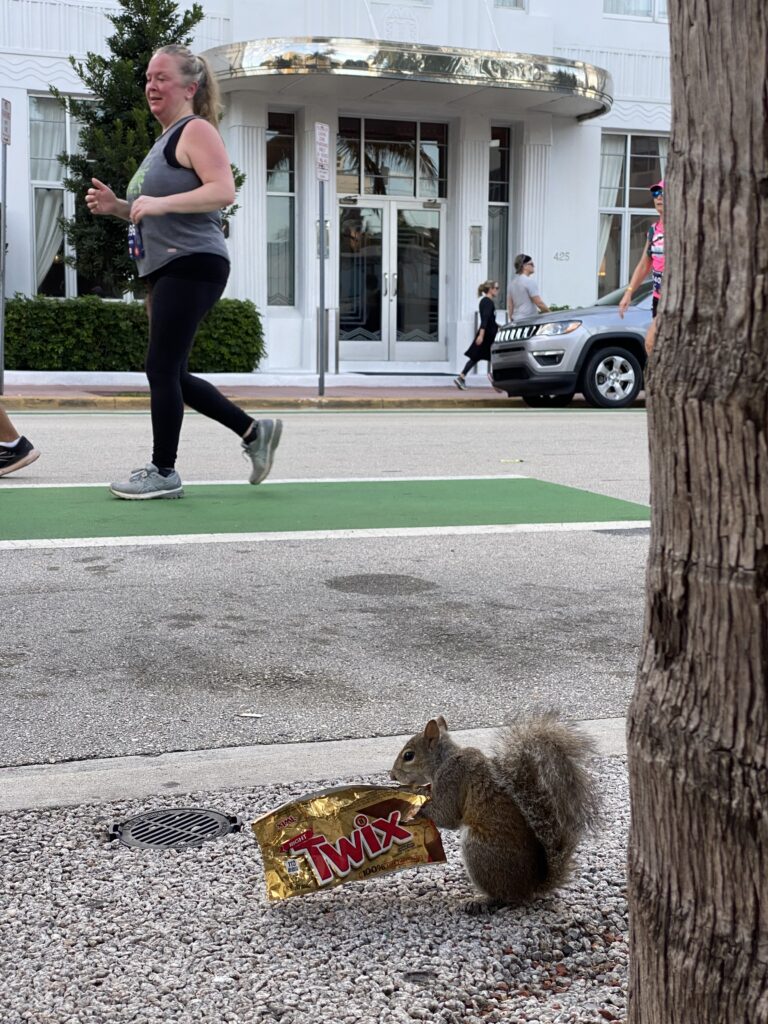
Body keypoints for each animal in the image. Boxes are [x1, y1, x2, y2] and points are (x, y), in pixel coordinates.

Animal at [390, 713, 599, 915]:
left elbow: (446, 814)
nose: (392, 776)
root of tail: (530, 887)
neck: (445, 759)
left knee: (504, 897)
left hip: (478, 850)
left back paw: (481, 901)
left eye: (409, 755)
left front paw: (414, 805)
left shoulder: (452, 778)